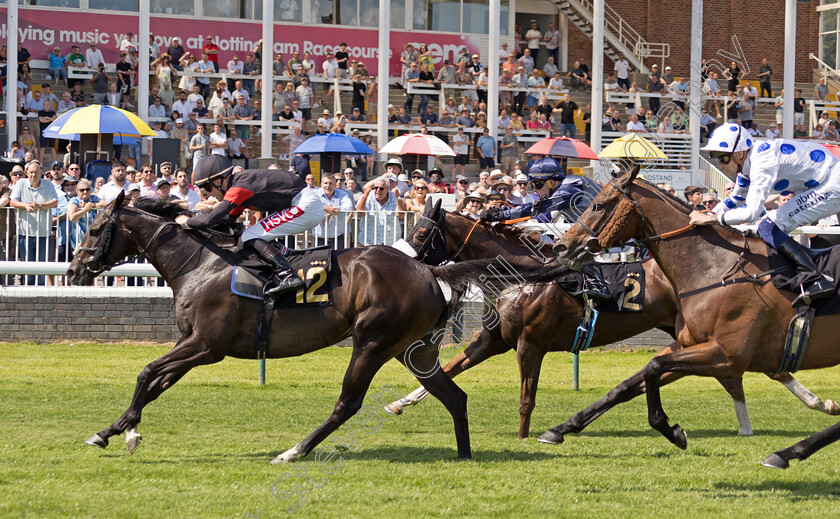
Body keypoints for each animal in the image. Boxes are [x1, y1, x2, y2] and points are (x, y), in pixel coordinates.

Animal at [64, 191, 552, 464]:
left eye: (95, 227)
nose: (74, 269)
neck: (201, 262)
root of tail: (429, 271)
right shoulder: (194, 345)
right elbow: (154, 383)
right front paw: (115, 431)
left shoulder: (206, 345)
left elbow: (147, 372)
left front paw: (123, 432)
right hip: (410, 349)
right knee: (453, 396)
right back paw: (465, 456)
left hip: (372, 342)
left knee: (348, 403)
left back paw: (293, 451)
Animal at [386, 203, 832, 438]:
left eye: (423, 231)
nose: (398, 257)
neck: (524, 278)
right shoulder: (493, 340)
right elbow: (450, 367)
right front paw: (399, 403)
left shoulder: (530, 344)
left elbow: (526, 397)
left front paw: (524, 436)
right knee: (741, 372)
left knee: (751, 369)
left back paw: (812, 404)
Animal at [540, 166, 840, 468]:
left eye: (598, 205)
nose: (562, 246)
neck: (714, 268)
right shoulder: (691, 346)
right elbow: (630, 383)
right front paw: (561, 428)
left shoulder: (726, 356)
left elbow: (652, 366)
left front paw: (670, 429)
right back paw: (789, 447)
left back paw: (786, 449)